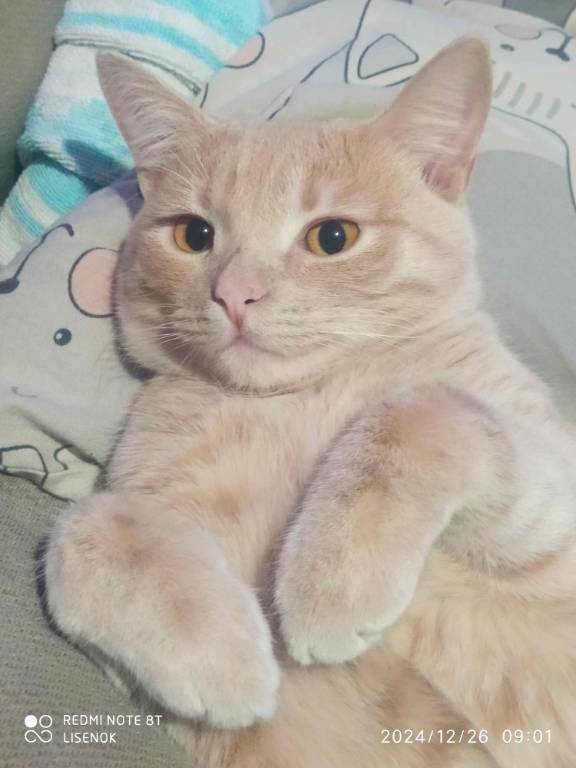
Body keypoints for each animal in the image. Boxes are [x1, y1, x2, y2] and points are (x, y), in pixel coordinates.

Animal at [43, 38, 576, 768]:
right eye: (193, 235)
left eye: (332, 238)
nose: (233, 293)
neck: (298, 400)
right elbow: (86, 525)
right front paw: (223, 654)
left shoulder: (552, 506)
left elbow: (426, 408)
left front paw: (331, 581)